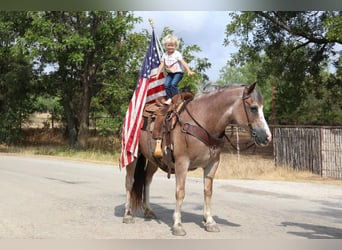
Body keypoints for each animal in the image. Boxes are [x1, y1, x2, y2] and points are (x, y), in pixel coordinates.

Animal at [121, 82, 272, 236]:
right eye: (253, 108)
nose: (267, 137)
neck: (203, 121)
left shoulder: (213, 164)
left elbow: (208, 191)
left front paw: (210, 221)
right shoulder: (182, 163)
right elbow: (180, 192)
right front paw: (178, 225)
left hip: (154, 160)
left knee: (147, 180)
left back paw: (148, 210)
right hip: (132, 154)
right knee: (130, 181)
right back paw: (127, 215)